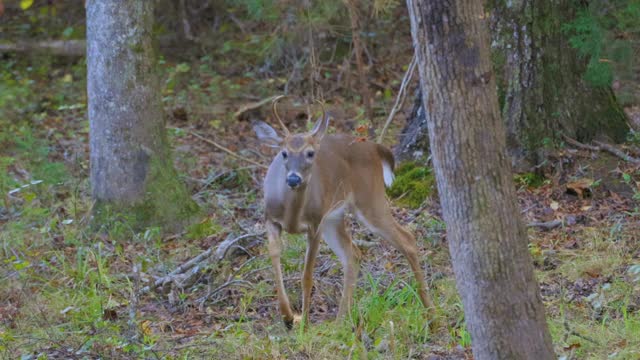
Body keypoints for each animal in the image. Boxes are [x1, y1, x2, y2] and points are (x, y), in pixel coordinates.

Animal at [252, 96, 432, 330]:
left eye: (310, 153)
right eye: (284, 153)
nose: (293, 179)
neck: (292, 214)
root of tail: (375, 147)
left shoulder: (315, 223)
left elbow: (307, 276)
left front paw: (304, 324)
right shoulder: (270, 219)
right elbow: (274, 254)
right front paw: (288, 316)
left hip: (368, 199)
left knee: (407, 238)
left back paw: (430, 311)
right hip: (335, 217)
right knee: (352, 253)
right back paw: (340, 322)